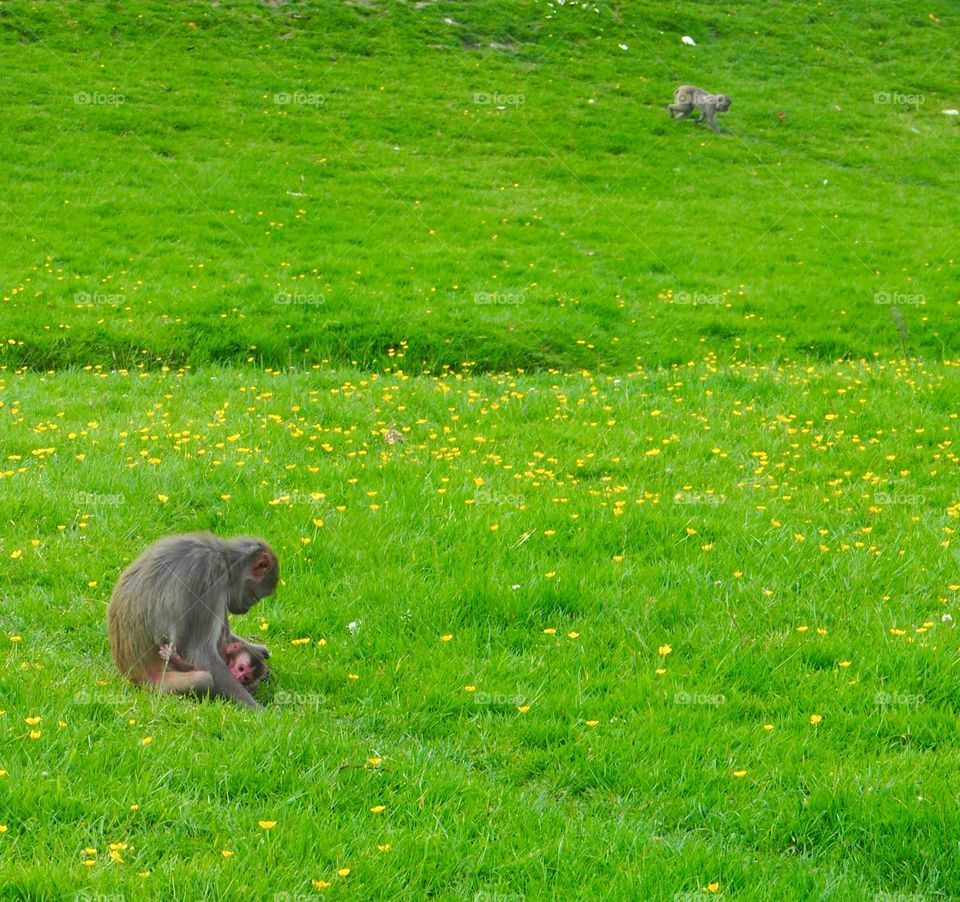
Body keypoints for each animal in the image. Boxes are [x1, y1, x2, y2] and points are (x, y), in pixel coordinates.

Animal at [111, 532, 282, 708]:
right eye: (256, 597)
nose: (245, 609)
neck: (225, 560)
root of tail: (131, 675)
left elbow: (225, 637)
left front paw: (258, 650)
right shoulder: (207, 578)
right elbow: (200, 654)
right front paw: (256, 709)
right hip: (158, 683)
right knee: (204, 678)